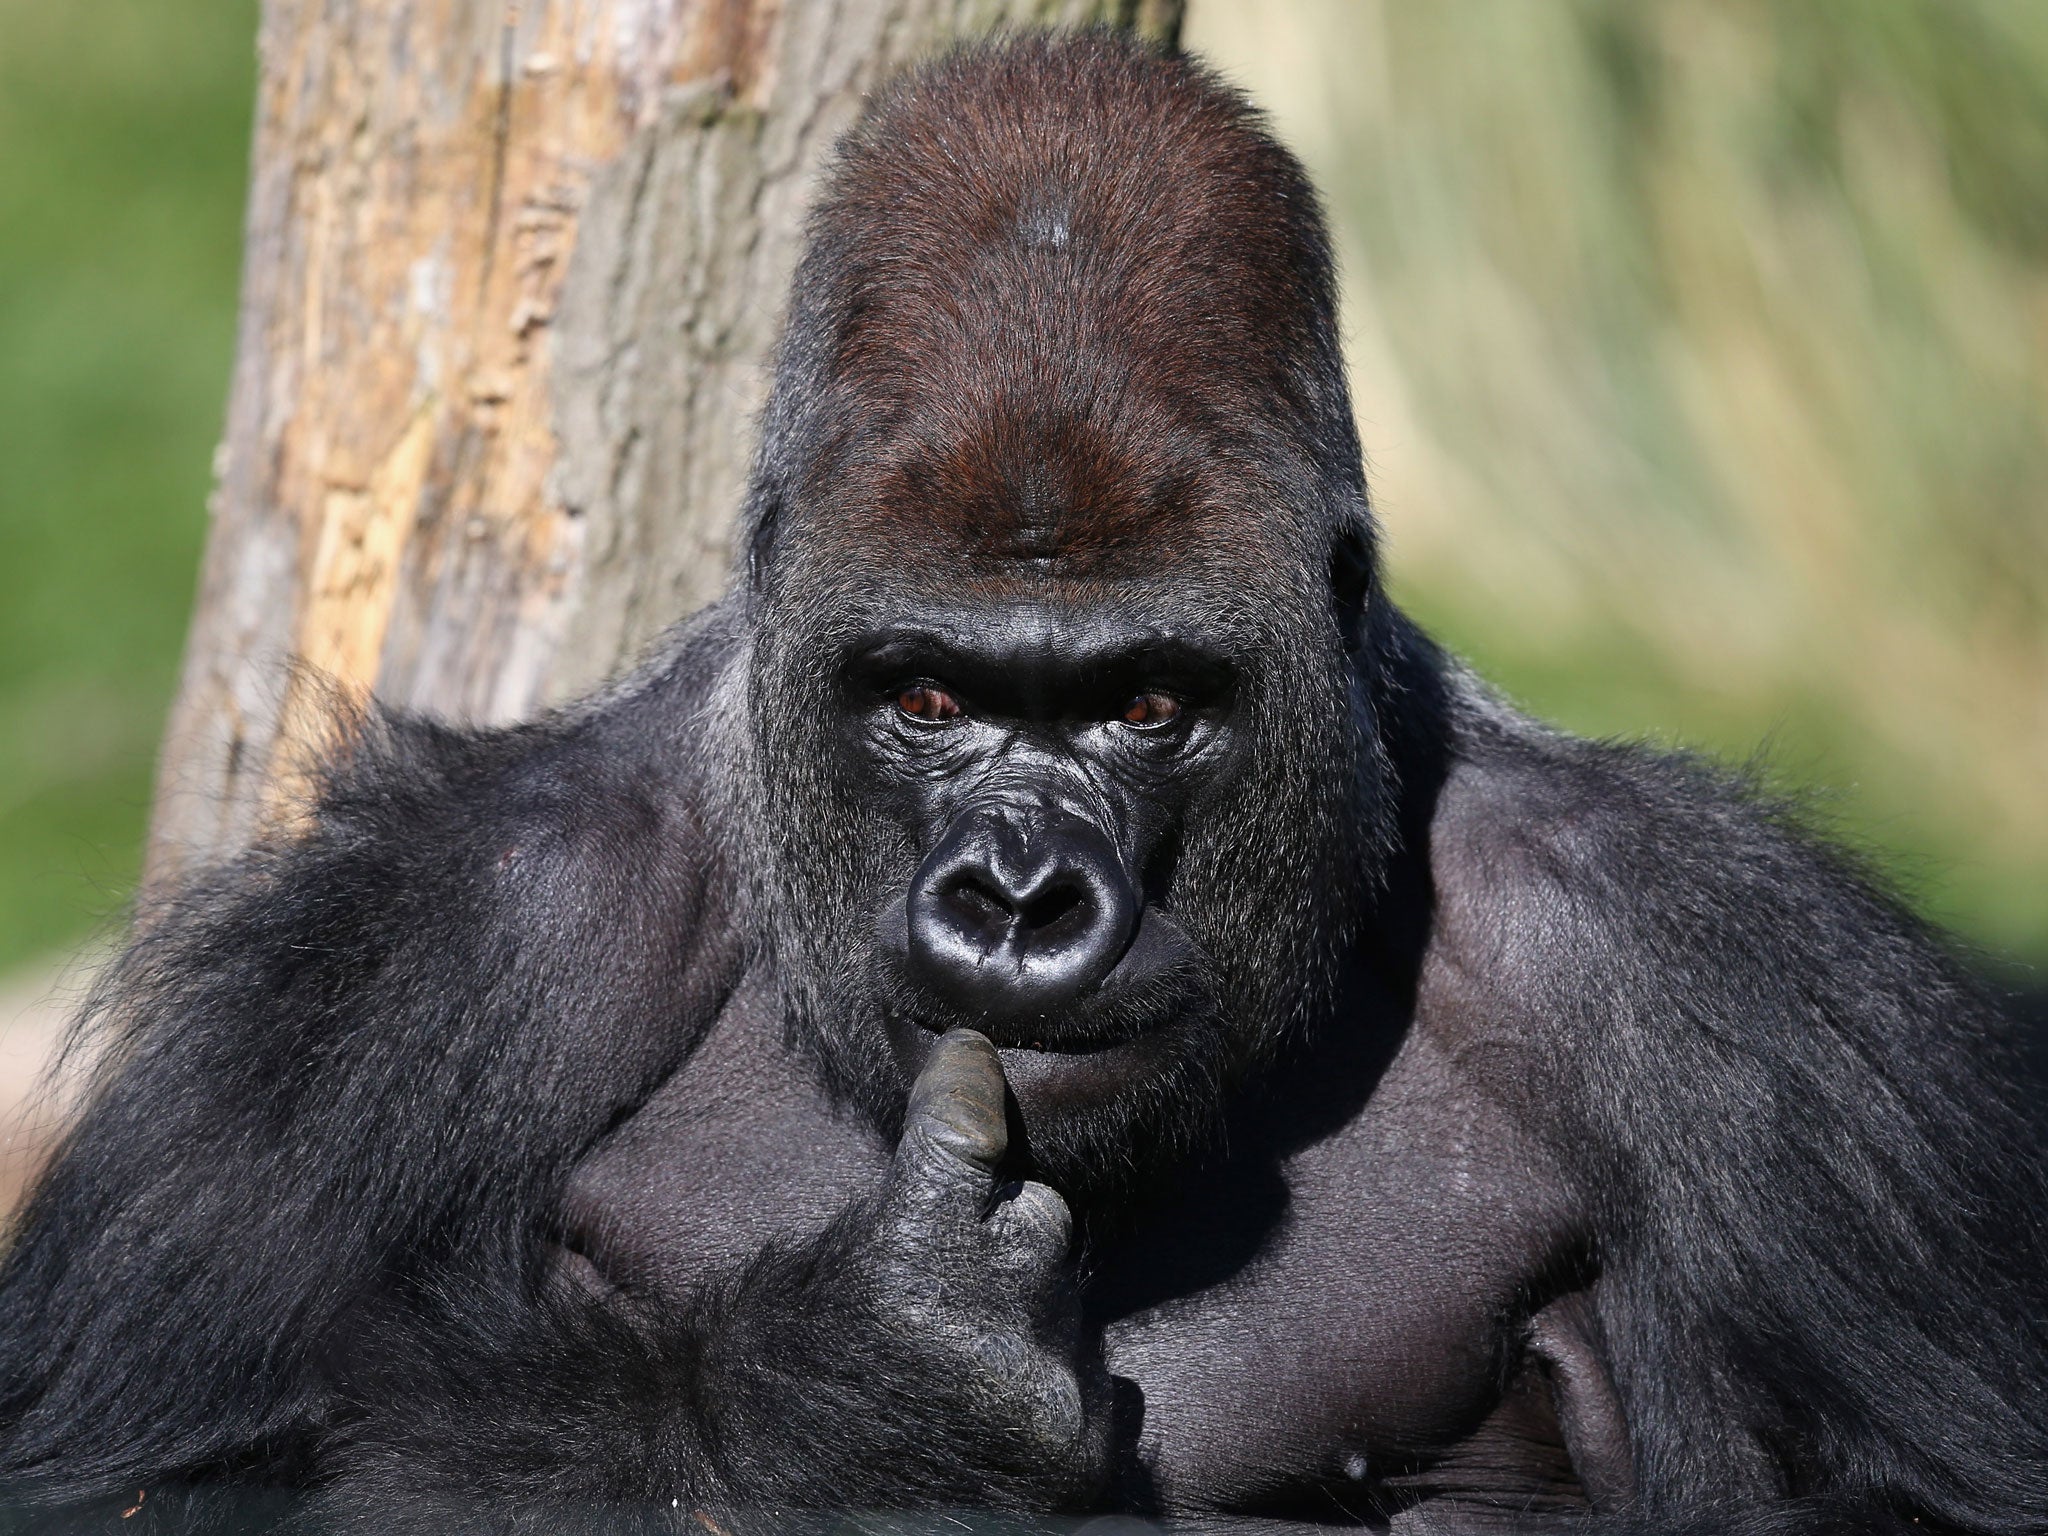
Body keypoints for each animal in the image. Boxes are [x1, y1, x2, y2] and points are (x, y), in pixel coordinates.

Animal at [4, 30, 2048, 1536]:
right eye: (926, 695)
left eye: (1147, 705)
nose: (1019, 898)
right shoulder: (394, 968)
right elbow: (130, 1480)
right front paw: (849, 1407)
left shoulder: (1736, 996)